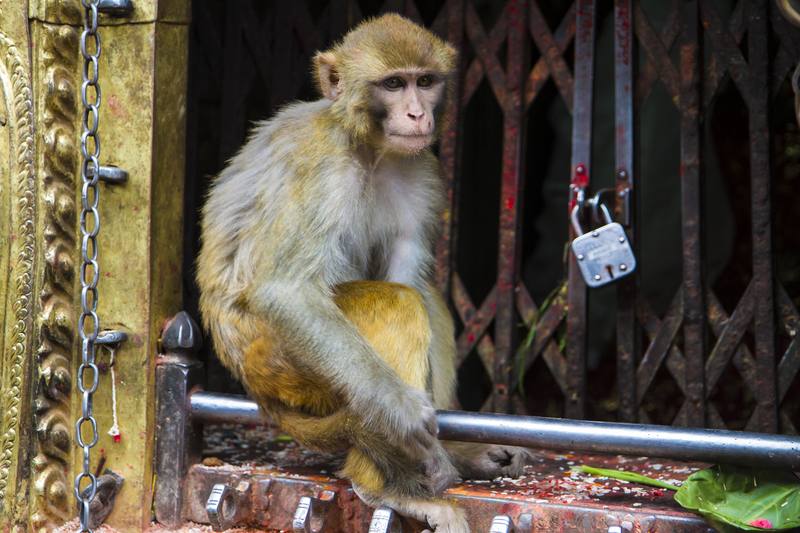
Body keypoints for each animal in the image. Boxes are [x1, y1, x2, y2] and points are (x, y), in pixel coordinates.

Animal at [197, 14, 529, 532]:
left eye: (424, 82)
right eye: (393, 84)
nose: (415, 114)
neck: (368, 148)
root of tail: (253, 383)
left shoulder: (421, 171)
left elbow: (409, 276)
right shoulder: (323, 169)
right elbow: (287, 291)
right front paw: (399, 413)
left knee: (422, 297)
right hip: (278, 361)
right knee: (395, 302)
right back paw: (388, 487)